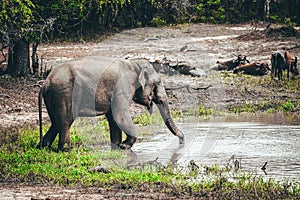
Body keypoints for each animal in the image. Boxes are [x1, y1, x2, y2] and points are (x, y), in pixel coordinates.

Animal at [38, 55, 184, 150]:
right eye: (157, 83)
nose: (182, 141)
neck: (134, 64)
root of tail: (44, 84)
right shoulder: (122, 87)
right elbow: (120, 115)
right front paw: (125, 146)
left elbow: (113, 117)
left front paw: (117, 146)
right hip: (64, 93)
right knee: (66, 120)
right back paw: (66, 149)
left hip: (54, 96)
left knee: (56, 122)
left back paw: (44, 146)